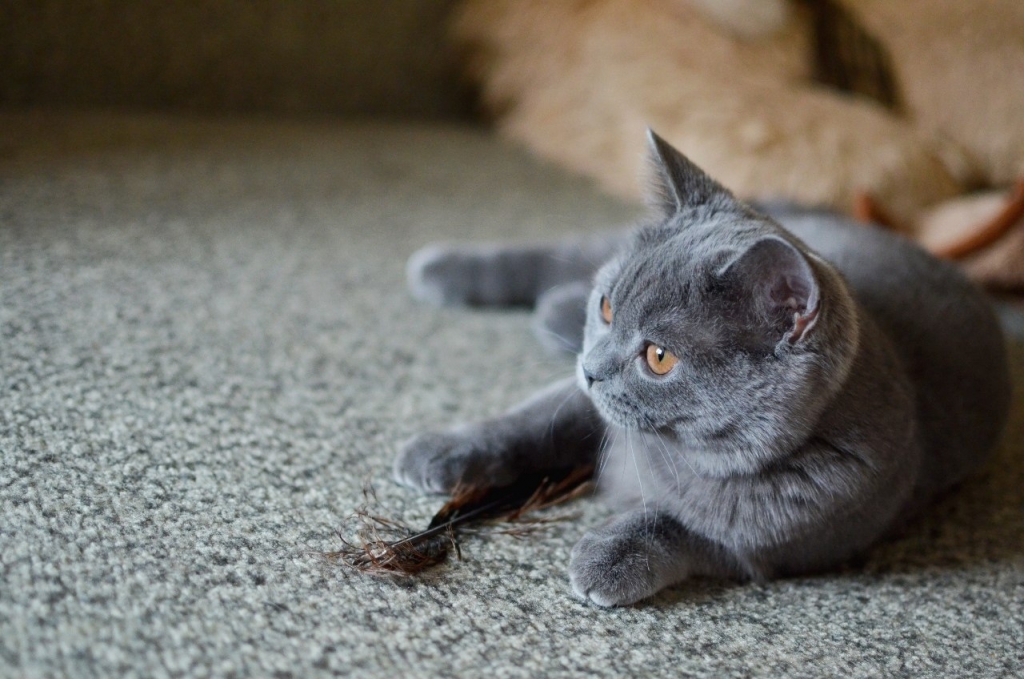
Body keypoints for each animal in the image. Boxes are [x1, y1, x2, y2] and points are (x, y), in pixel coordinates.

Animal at [395, 130, 1011, 606]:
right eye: (608, 308)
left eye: (659, 357)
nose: (591, 369)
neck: (670, 452)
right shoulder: (588, 409)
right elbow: (531, 419)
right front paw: (440, 450)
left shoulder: (776, 544)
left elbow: (680, 526)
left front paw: (608, 556)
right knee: (560, 253)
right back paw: (443, 270)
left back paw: (551, 313)